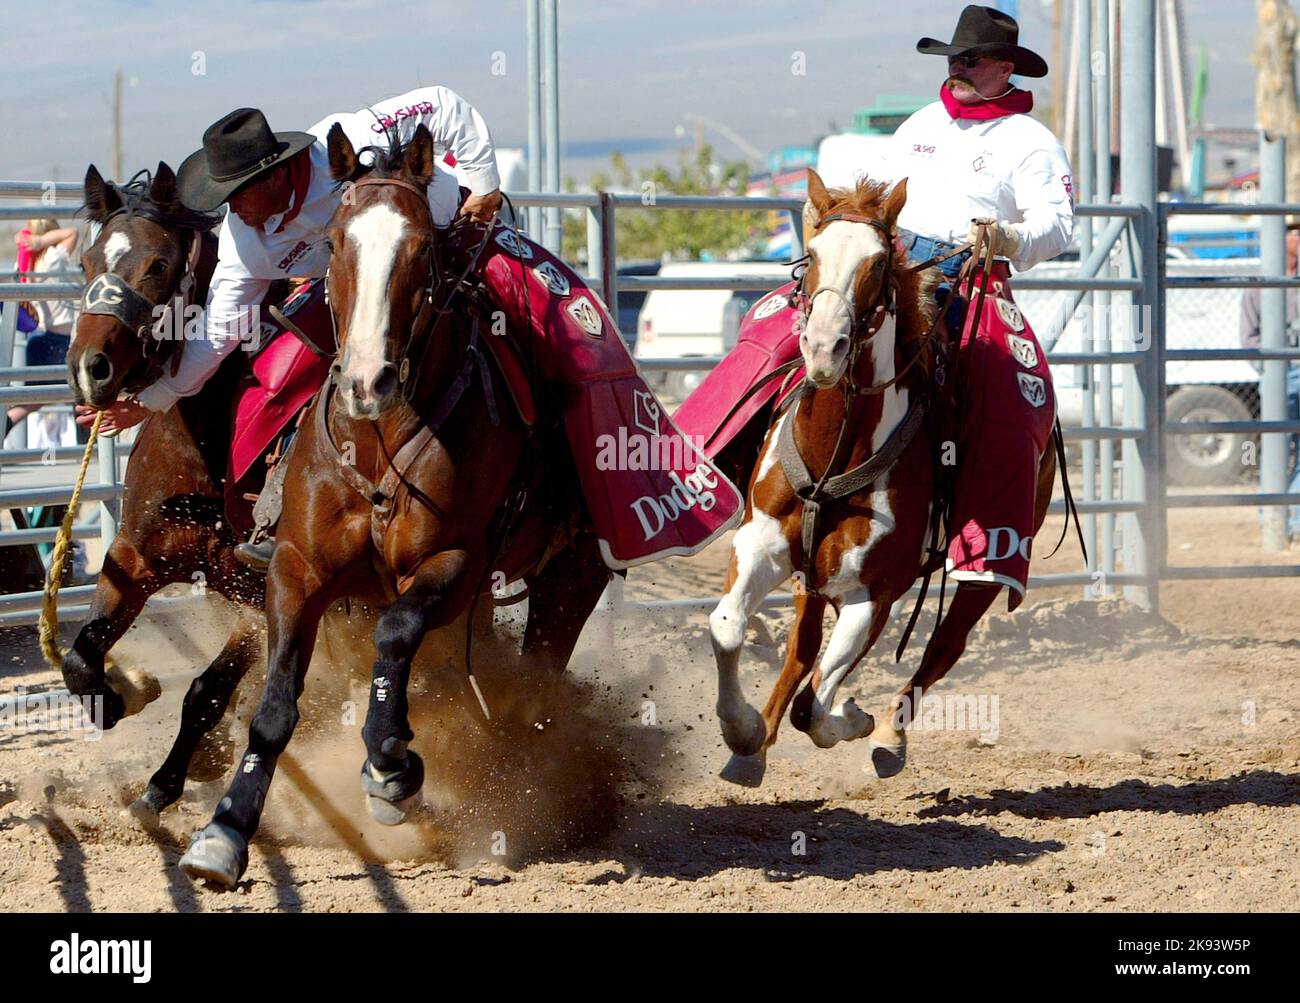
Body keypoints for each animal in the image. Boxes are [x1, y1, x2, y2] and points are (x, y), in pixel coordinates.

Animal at [61, 164, 271, 821]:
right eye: (87, 262)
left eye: (158, 264)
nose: (89, 368)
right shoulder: (134, 556)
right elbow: (80, 657)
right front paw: (123, 694)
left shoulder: (264, 599)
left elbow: (207, 690)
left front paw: (166, 782)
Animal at [179, 123, 618, 883]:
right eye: (334, 243)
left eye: (419, 248)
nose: (367, 380)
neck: (378, 439)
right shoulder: (295, 570)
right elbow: (275, 703)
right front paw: (225, 829)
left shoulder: (454, 564)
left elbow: (394, 636)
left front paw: (391, 769)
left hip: (571, 575)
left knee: (537, 678)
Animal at [712, 176, 1055, 789]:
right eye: (811, 256)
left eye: (876, 264)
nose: (824, 348)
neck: (835, 450)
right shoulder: (762, 543)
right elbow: (729, 627)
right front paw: (744, 731)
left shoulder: (873, 592)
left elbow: (816, 707)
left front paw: (854, 716)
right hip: (811, 575)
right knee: (801, 651)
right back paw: (755, 747)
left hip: (987, 565)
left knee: (944, 645)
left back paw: (890, 737)